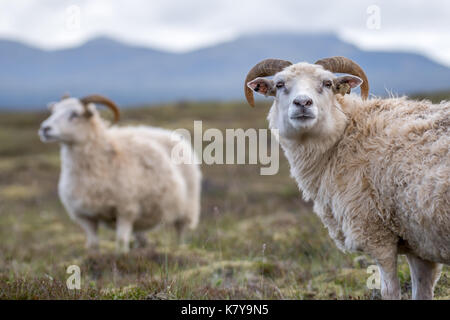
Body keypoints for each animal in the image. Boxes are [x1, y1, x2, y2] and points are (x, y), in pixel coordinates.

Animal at [38, 94, 200, 252]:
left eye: (74, 114)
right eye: (53, 111)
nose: (45, 128)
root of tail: (165, 131)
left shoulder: (126, 210)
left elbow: (121, 242)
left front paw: (121, 256)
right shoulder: (85, 216)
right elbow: (93, 245)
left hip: (187, 207)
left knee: (181, 230)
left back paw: (180, 248)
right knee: (141, 235)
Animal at [244, 56, 448, 298]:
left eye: (328, 83)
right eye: (279, 84)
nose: (303, 103)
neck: (344, 135)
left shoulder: (376, 234)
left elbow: (389, 290)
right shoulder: (418, 242)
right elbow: (423, 290)